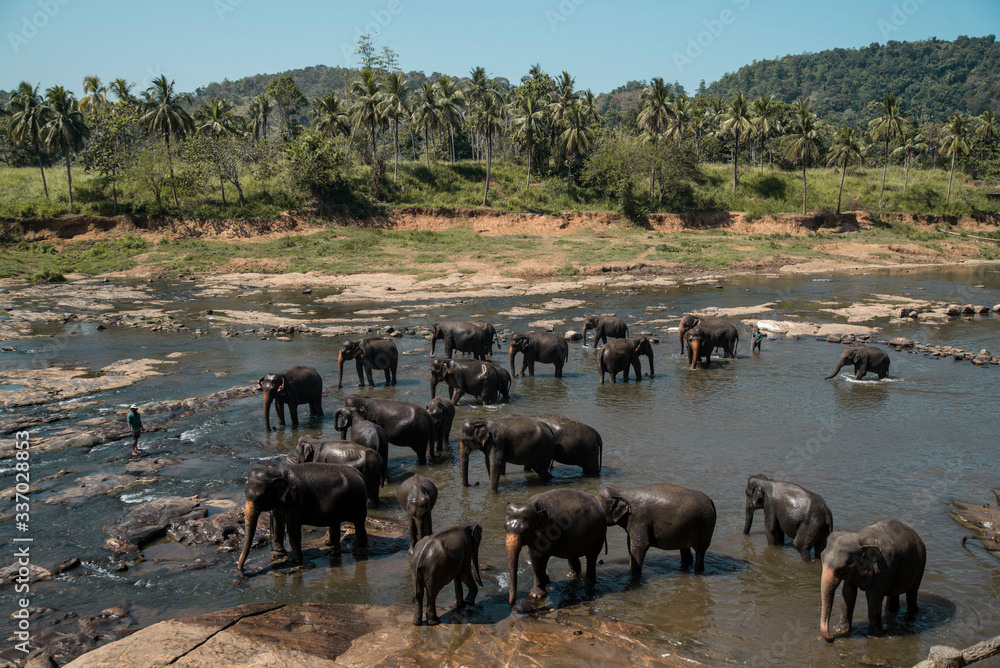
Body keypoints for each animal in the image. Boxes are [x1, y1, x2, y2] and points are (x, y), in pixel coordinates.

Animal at [237, 462, 368, 575]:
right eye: (244, 492)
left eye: (260, 497)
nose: (243, 571)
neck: (279, 472)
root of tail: (359, 474)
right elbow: (277, 522)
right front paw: (277, 555)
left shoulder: (296, 498)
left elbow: (292, 526)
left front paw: (292, 560)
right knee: (335, 521)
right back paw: (329, 543)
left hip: (358, 501)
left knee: (359, 522)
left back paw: (358, 546)